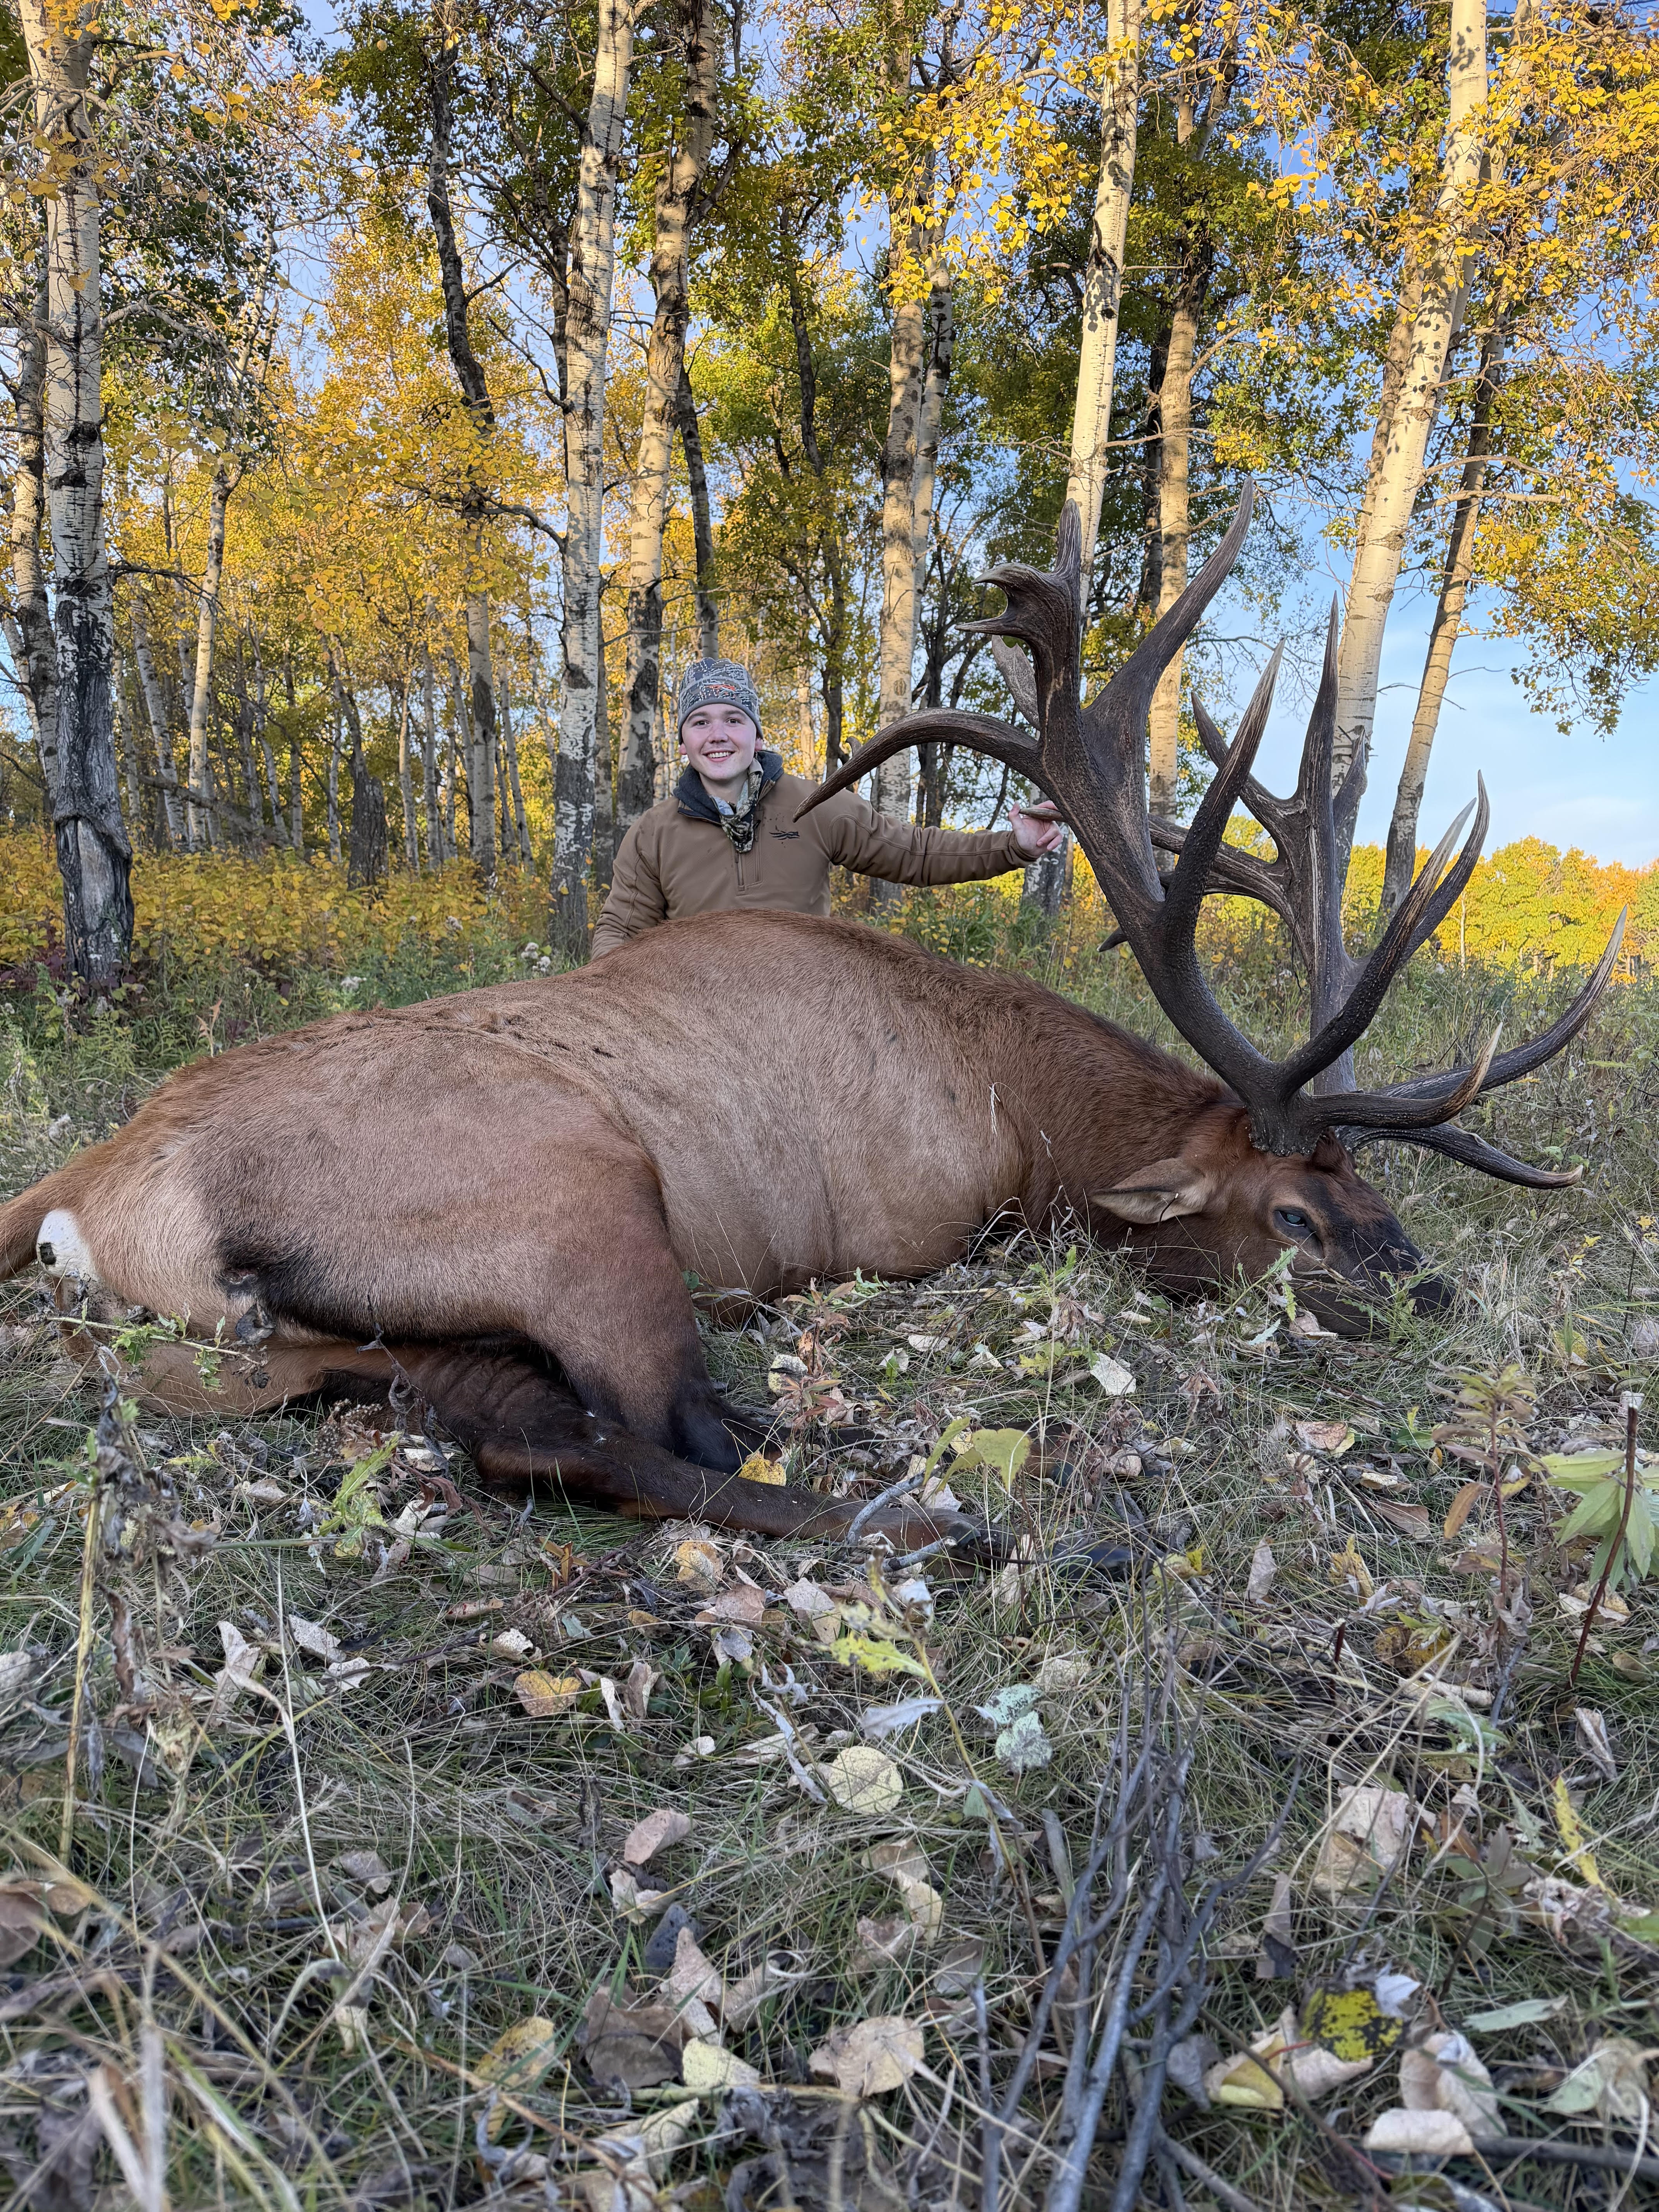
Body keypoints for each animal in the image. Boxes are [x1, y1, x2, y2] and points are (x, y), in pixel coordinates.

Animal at [0, 489, 1622, 1555]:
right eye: (1293, 1213)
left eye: (1375, 1184)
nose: (1431, 1298)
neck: (1013, 1107)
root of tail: (80, 1196)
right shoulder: (918, 1226)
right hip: (579, 1199)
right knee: (645, 1432)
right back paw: (930, 1516)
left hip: (278, 1350)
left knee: (520, 1421)